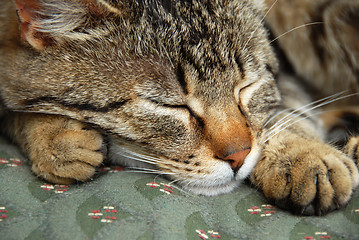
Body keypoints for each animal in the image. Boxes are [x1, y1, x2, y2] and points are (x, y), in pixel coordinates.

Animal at [0, 0, 358, 216]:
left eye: (246, 87)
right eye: (168, 104)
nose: (239, 156)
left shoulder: (288, 78)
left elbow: (287, 111)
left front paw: (304, 154)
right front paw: (52, 138)